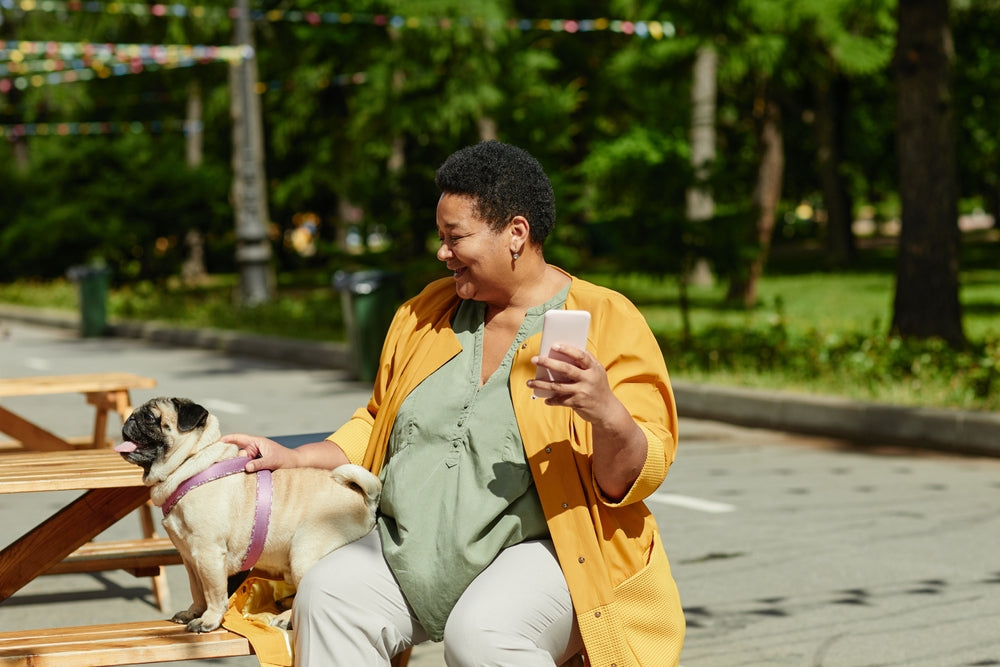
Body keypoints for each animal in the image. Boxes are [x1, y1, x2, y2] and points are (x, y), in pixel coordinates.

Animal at [115, 400, 380, 636]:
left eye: (150, 418)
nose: (129, 419)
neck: (191, 465)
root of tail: (365, 499)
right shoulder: (189, 557)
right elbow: (197, 590)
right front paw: (194, 613)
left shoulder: (208, 553)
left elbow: (213, 592)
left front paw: (209, 620)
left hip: (304, 553)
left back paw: (285, 618)